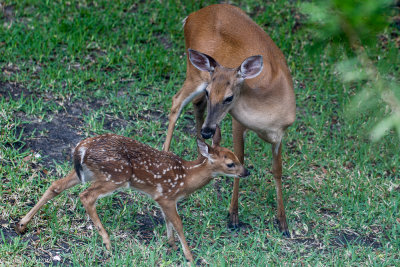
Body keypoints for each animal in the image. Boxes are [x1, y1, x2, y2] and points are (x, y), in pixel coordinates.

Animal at [16, 132, 250, 264]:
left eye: (239, 158)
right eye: (230, 164)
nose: (246, 172)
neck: (186, 179)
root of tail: (81, 148)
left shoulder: (163, 199)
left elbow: (169, 222)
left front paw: (172, 246)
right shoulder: (166, 196)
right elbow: (178, 223)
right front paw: (190, 257)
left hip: (87, 173)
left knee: (56, 186)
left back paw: (21, 225)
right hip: (116, 175)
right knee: (86, 196)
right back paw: (108, 242)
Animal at [161, 4, 296, 237]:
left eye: (229, 97)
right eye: (210, 92)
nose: (207, 131)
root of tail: (192, 16)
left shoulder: (280, 133)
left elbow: (277, 170)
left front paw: (283, 223)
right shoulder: (237, 122)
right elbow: (240, 157)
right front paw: (233, 216)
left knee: (196, 104)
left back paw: (202, 152)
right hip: (195, 73)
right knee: (177, 102)